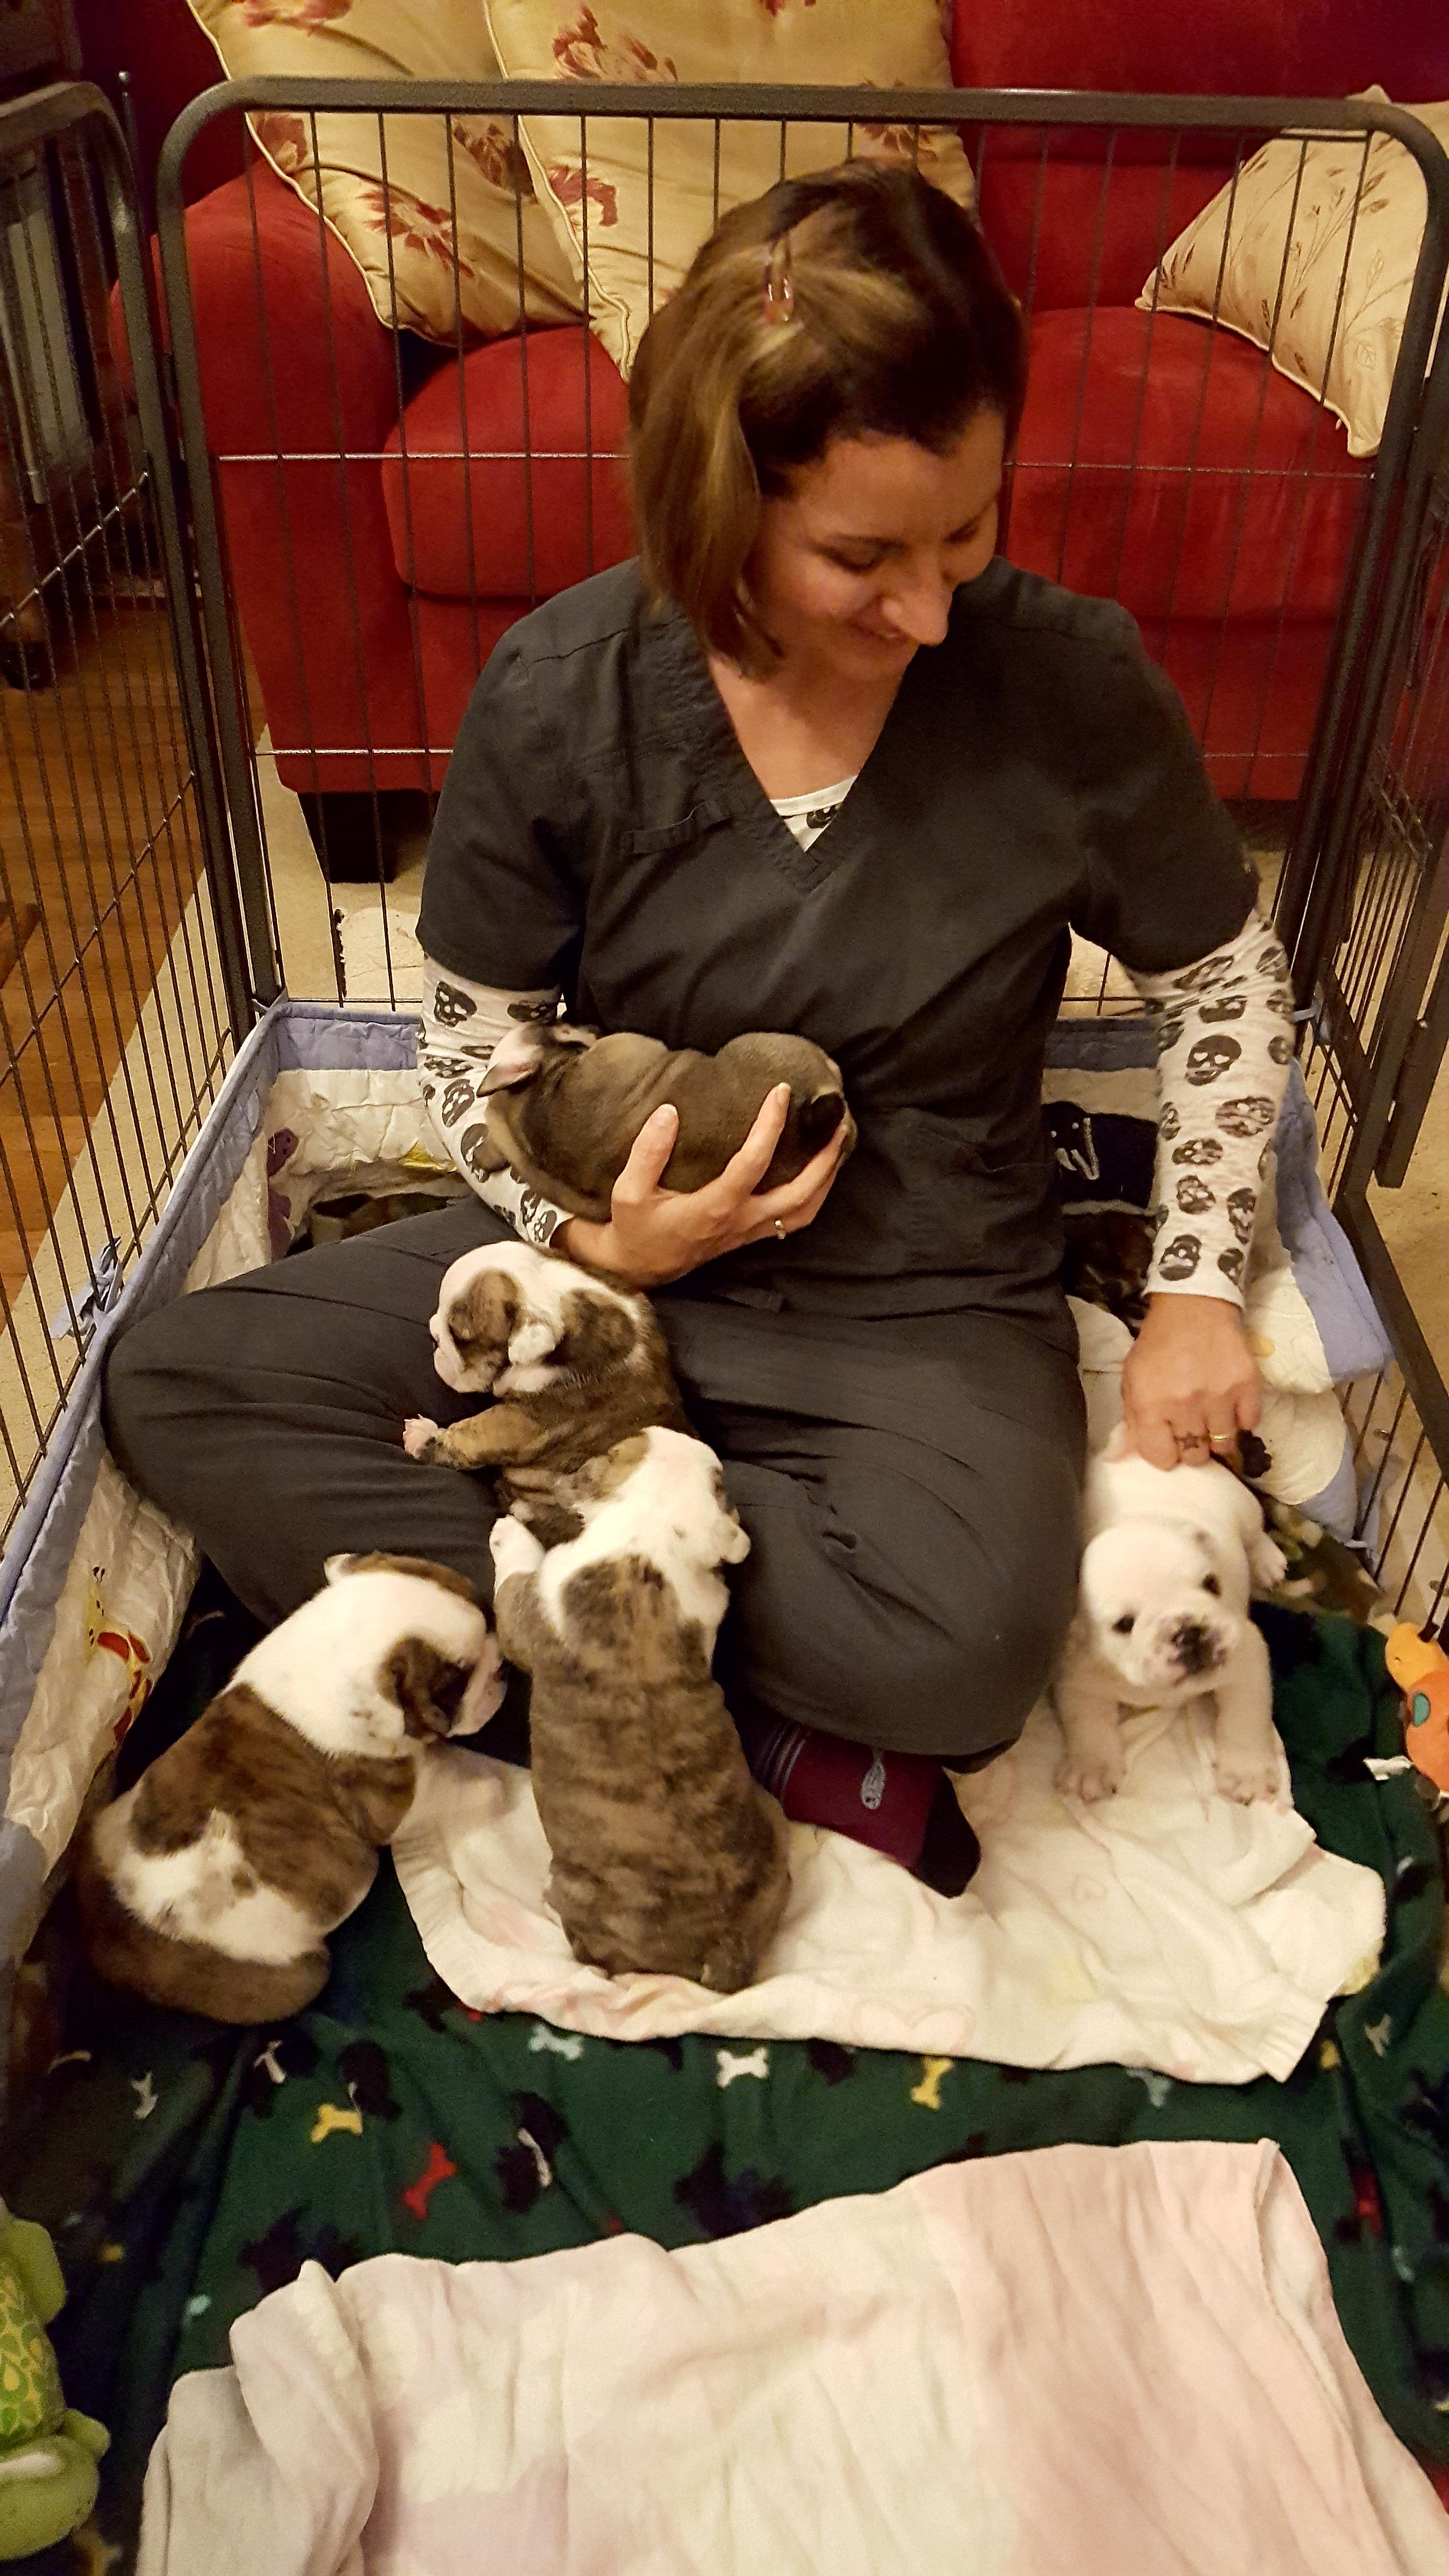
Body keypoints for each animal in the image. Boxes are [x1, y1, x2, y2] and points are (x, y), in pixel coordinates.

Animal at [72, 1554, 504, 2023]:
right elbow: (445, 1788)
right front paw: (491, 1790)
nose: (502, 1665)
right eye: (453, 1689)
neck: (330, 1656)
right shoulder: (391, 1803)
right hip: (300, 1975)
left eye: (489, 1615)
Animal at [489, 1426, 790, 1991]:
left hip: (579, 1897)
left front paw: (508, 1529)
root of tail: (725, 1945)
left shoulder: (526, 1607)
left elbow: (516, 1573)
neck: (649, 1538)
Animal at [1053, 1433, 1289, 1806]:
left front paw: (1246, 1773)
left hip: (1242, 1505)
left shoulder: (1246, 1658)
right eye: (1124, 1624)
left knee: (1254, 1533)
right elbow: (1087, 1722)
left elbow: (1245, 1719)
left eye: (1212, 1584)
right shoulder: (1080, 1675)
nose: (1189, 1632)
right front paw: (1090, 1769)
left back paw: (1267, 1560)